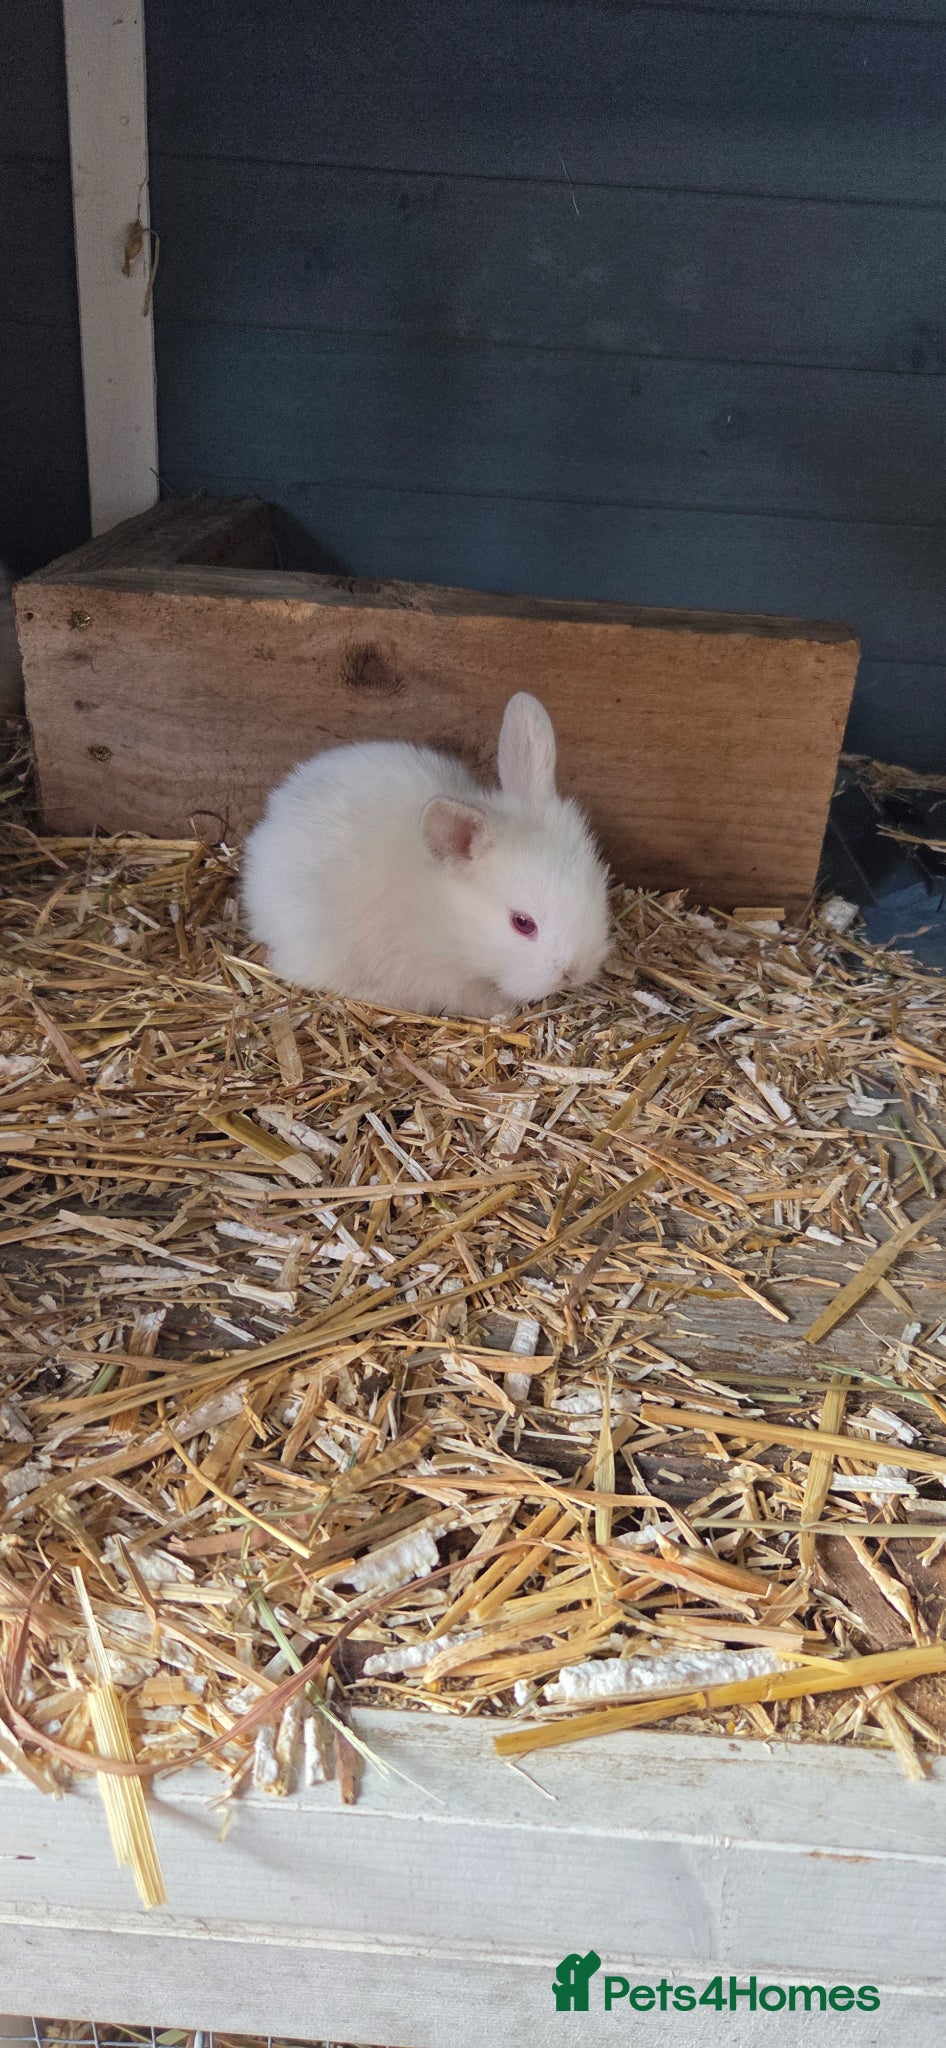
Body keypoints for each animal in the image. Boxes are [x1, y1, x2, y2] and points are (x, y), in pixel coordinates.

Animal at [242, 691, 611, 1018]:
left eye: (597, 888)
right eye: (522, 923)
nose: (574, 972)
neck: (445, 916)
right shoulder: (439, 979)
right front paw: (502, 1009)